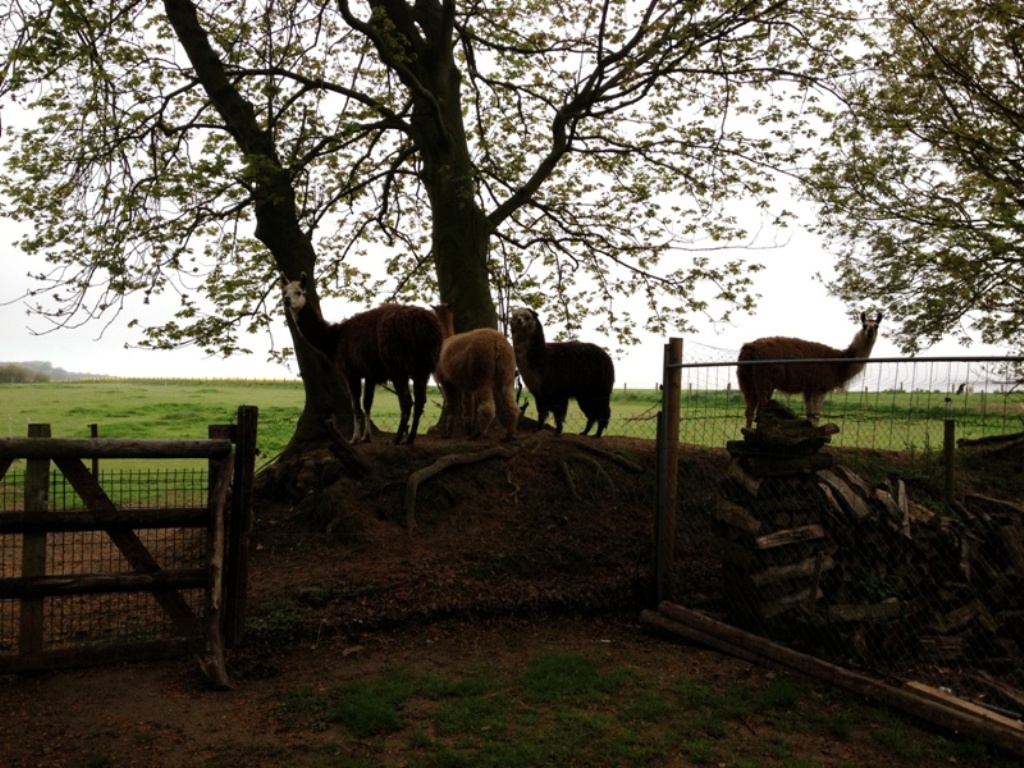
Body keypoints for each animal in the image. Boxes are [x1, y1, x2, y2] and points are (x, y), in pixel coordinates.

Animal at [280, 272, 443, 445]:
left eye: (298, 292)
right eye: (284, 291)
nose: (287, 300)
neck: (334, 339)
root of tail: (424, 323)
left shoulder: (351, 372)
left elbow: (355, 405)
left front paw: (354, 438)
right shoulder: (369, 373)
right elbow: (367, 404)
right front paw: (367, 436)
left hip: (397, 365)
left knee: (407, 402)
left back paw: (396, 439)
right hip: (423, 366)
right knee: (420, 402)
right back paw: (409, 439)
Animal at [432, 304, 519, 441]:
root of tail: (497, 341)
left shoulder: (446, 382)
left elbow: (451, 406)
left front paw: (448, 433)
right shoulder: (466, 386)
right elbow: (467, 407)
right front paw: (468, 429)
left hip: (481, 372)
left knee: (487, 407)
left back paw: (479, 434)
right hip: (507, 373)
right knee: (512, 405)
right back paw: (508, 435)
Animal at [508, 307, 615, 437]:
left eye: (526, 317)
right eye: (515, 317)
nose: (519, 321)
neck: (543, 359)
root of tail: (607, 356)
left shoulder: (558, 393)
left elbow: (559, 415)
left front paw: (558, 432)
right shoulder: (540, 395)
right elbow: (542, 415)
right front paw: (538, 430)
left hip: (600, 390)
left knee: (603, 412)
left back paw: (597, 434)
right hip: (585, 394)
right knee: (592, 414)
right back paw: (585, 432)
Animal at [736, 311, 883, 430]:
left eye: (876, 326)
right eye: (864, 325)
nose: (870, 332)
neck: (838, 363)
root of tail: (749, 348)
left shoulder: (809, 388)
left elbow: (810, 415)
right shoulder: (821, 386)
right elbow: (816, 414)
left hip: (747, 381)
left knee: (749, 410)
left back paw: (747, 432)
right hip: (765, 379)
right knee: (761, 410)